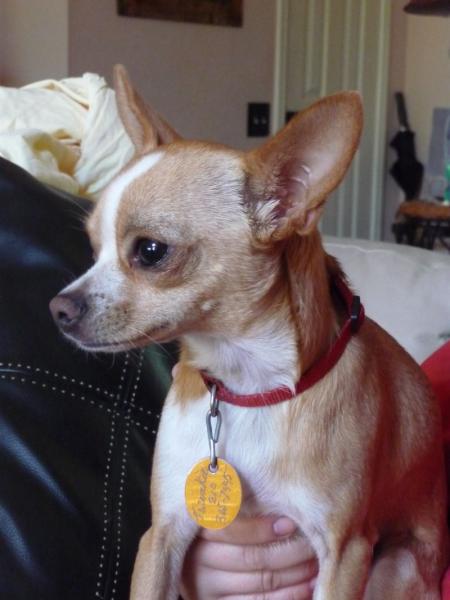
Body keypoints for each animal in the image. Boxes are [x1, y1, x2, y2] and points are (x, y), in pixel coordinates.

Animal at [50, 65, 448, 599]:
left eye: (151, 251)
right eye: (93, 249)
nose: (58, 308)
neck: (248, 383)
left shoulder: (345, 551)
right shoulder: (161, 537)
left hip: (395, 565)